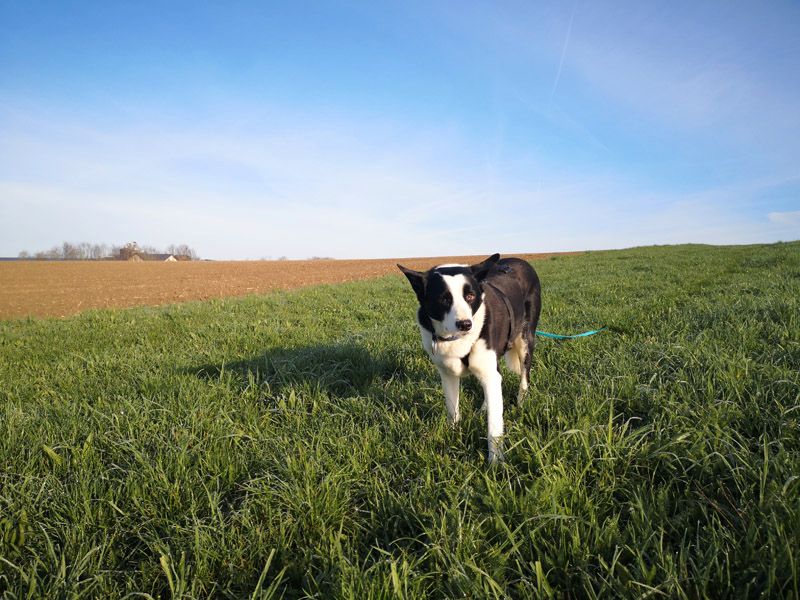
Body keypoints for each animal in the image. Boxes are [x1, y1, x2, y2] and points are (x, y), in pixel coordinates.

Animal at [396, 253, 540, 464]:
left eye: (470, 296)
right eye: (444, 299)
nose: (465, 324)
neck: (455, 339)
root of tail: (520, 260)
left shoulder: (489, 371)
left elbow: (494, 427)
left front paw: (496, 463)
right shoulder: (447, 375)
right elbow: (453, 410)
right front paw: (454, 436)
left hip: (525, 339)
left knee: (524, 376)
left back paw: (521, 402)